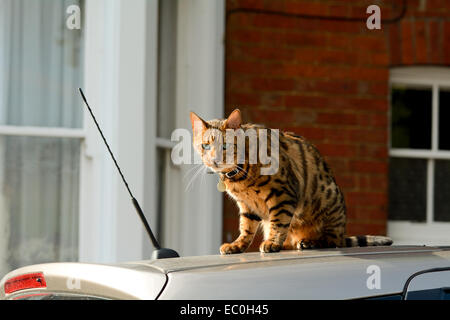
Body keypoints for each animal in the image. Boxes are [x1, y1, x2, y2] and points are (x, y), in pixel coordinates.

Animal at [188, 109, 392, 254]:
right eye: (205, 146)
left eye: (225, 146)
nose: (213, 160)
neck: (239, 176)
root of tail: (343, 233)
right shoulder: (247, 205)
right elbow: (246, 227)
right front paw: (237, 245)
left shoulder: (282, 194)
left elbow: (279, 221)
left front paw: (272, 242)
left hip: (330, 205)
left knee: (331, 240)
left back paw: (309, 242)